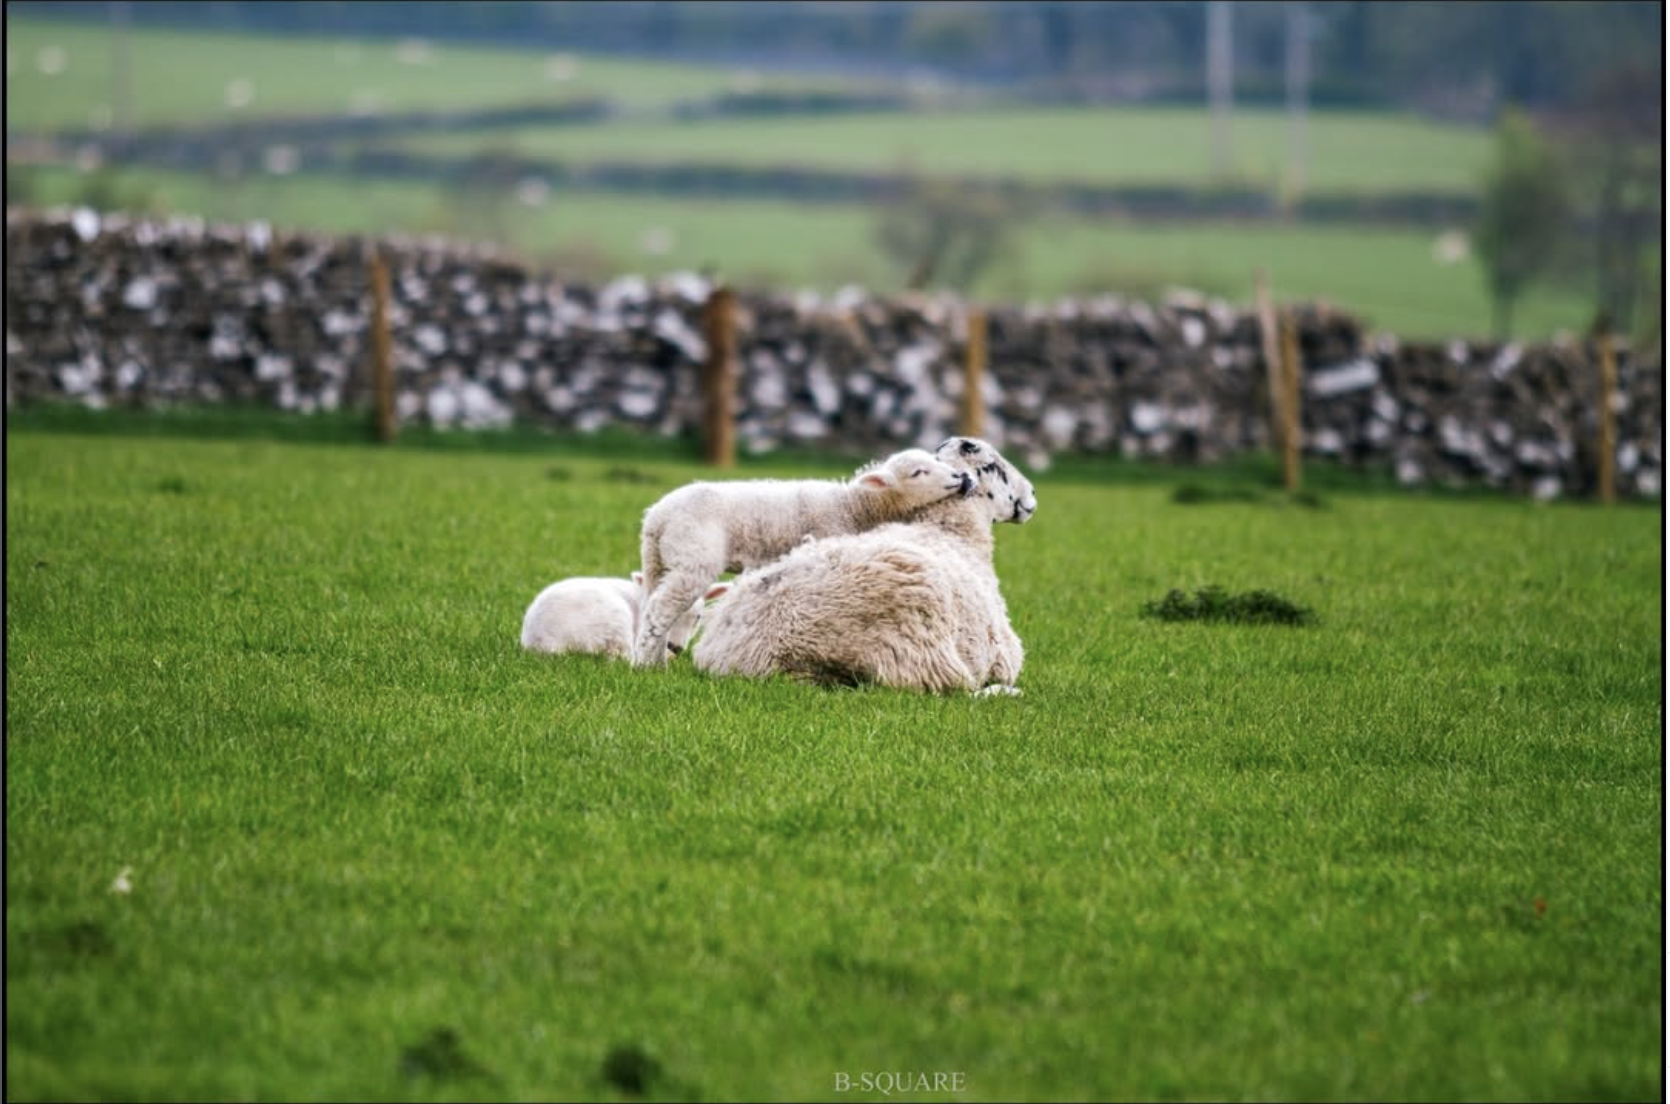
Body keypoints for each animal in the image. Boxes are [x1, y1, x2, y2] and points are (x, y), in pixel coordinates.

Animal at [630, 447, 974, 667]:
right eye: (918, 472)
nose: (960, 477)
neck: (852, 506)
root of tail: (656, 519)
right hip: (694, 555)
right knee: (661, 608)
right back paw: (645, 665)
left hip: (658, 561)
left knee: (650, 603)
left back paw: (652, 660)